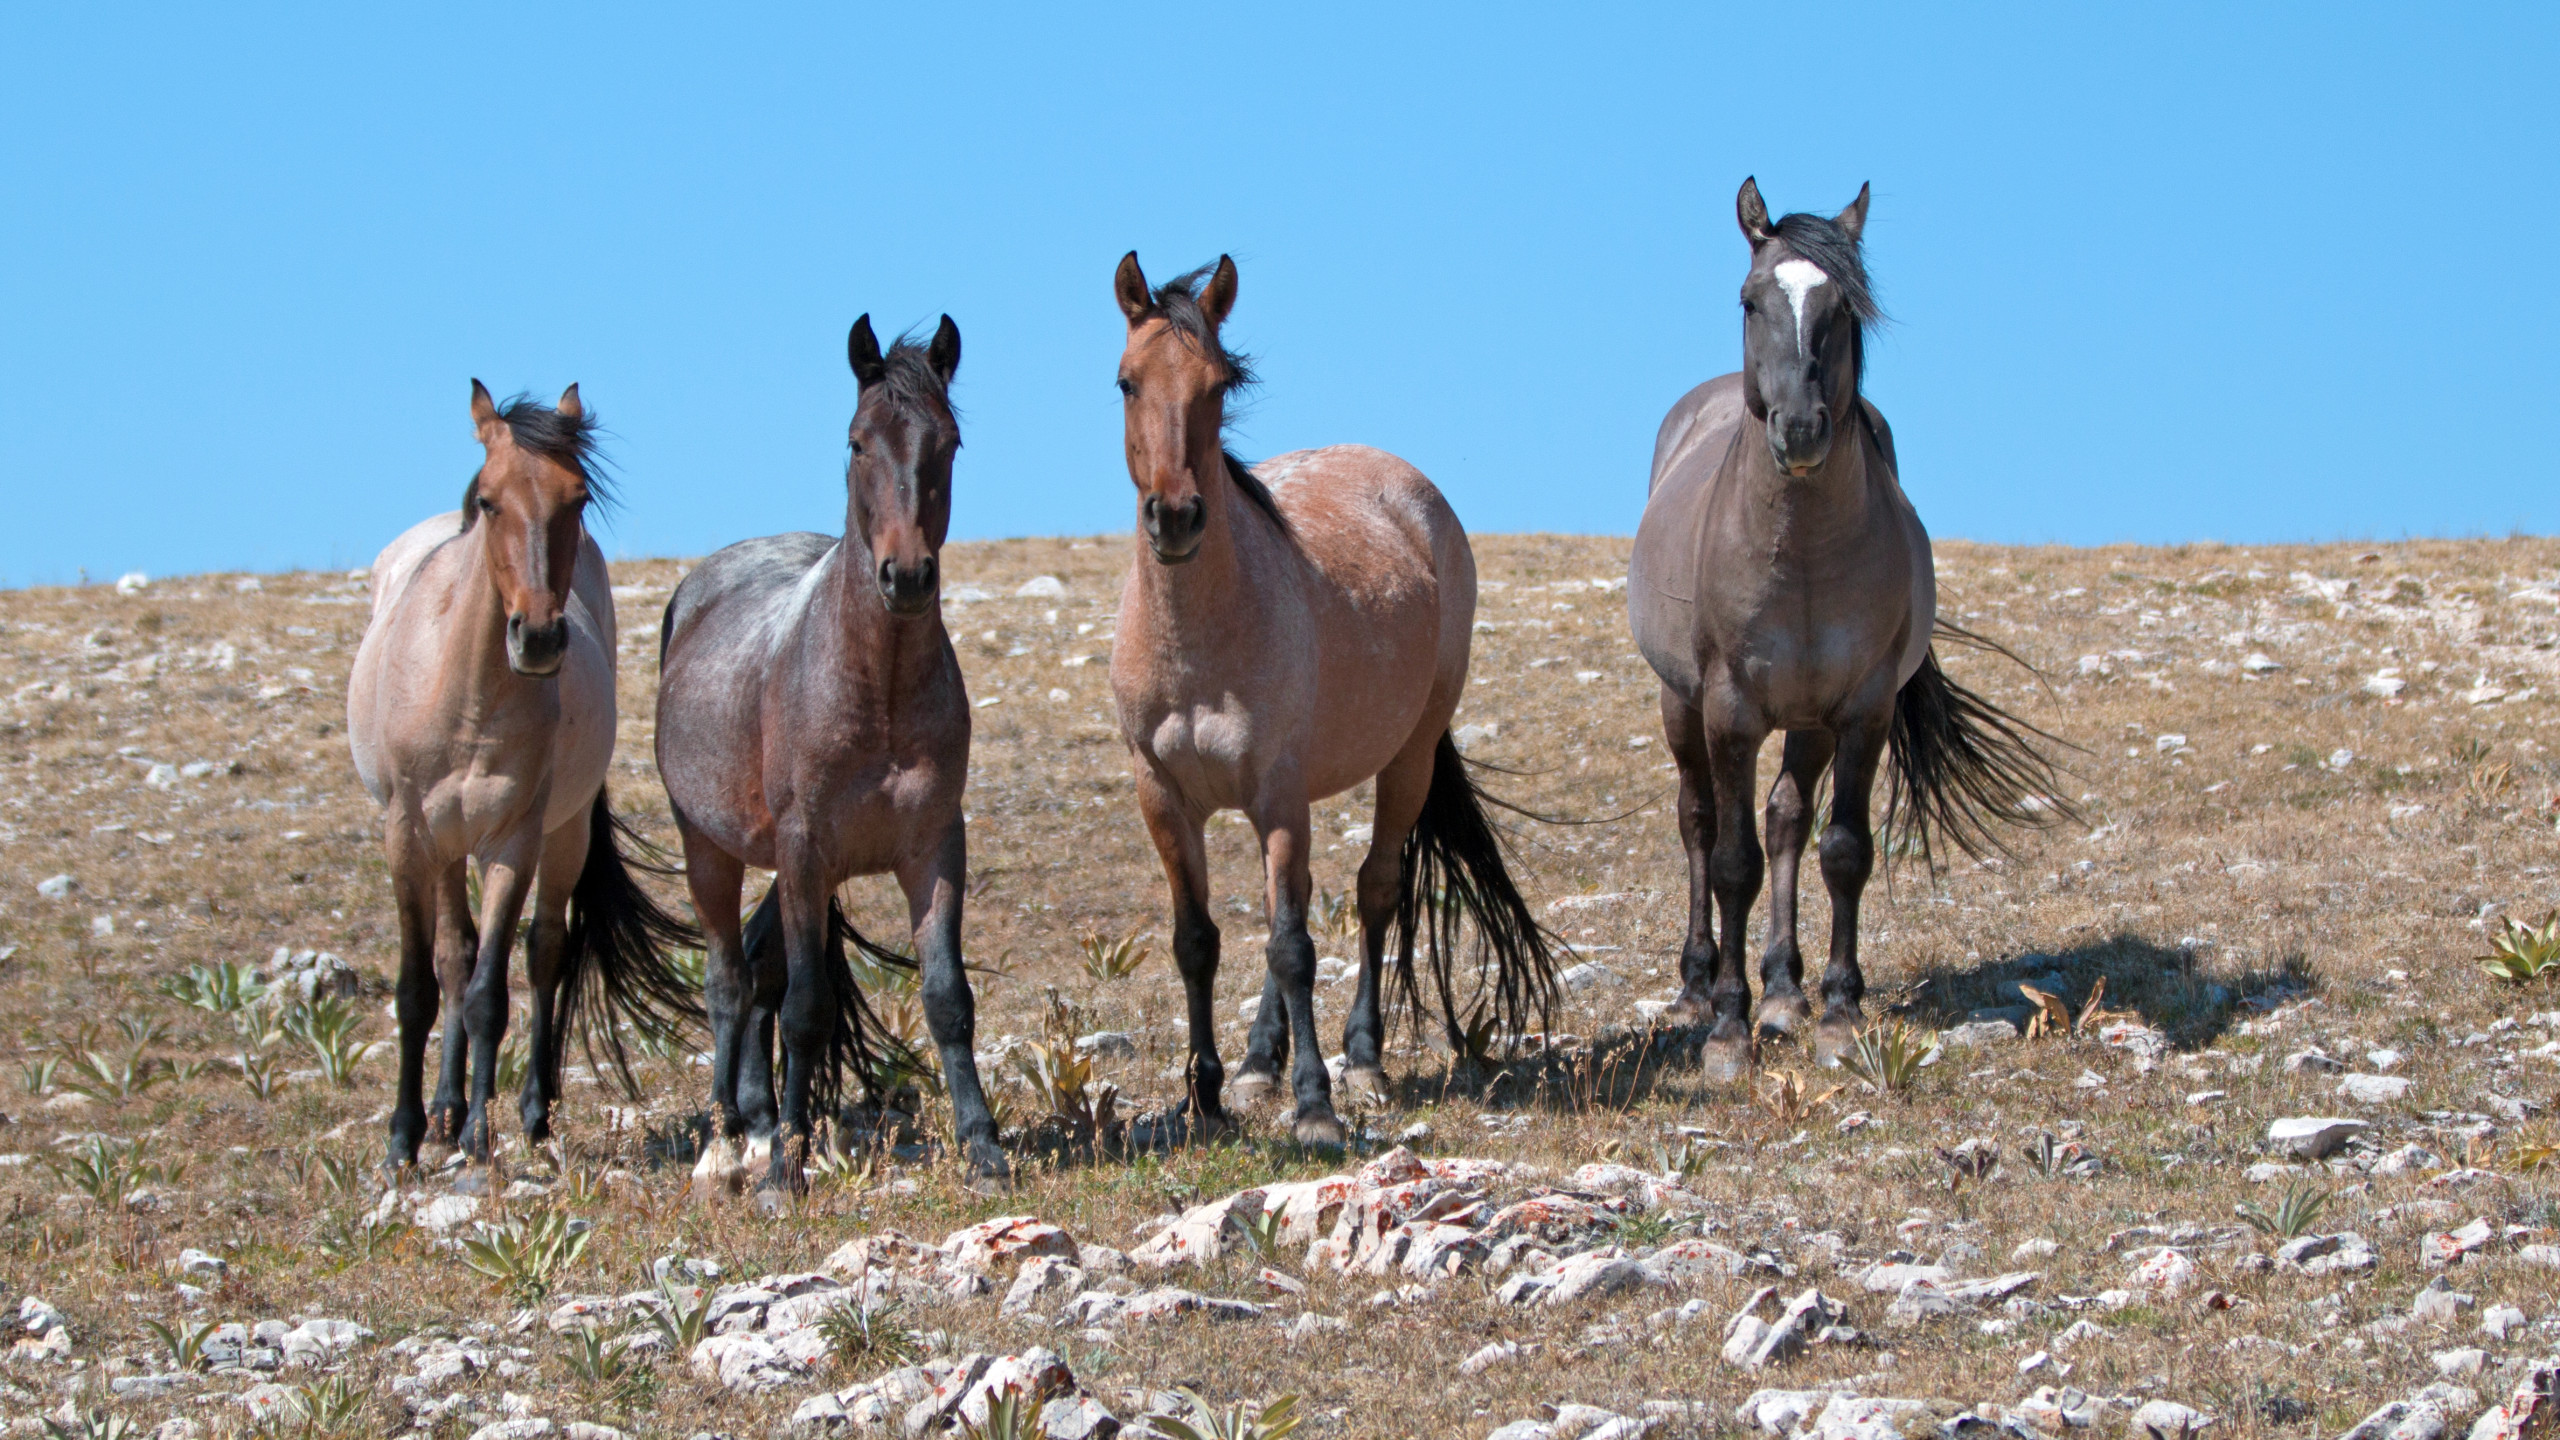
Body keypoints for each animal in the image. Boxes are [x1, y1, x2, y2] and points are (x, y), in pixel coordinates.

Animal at [348, 382, 703, 1170]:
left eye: (577, 497)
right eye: (487, 500)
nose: (537, 637)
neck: (465, 698)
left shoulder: (511, 839)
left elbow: (491, 994)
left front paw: (481, 1140)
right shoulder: (405, 836)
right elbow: (419, 986)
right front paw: (403, 1139)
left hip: (560, 834)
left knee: (542, 954)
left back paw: (529, 1114)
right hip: (446, 845)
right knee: (454, 956)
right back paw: (444, 1110)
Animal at [654, 315, 1006, 1200]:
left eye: (948, 442)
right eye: (856, 441)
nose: (906, 576)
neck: (875, 691)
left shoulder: (933, 848)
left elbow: (947, 997)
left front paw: (983, 1148)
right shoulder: (806, 849)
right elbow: (806, 1008)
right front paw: (784, 1169)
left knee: (756, 978)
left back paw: (760, 1127)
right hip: (711, 850)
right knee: (727, 983)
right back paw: (729, 1145)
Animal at [1108, 252, 1558, 1145]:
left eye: (1217, 385)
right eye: (1127, 382)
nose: (1175, 517)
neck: (1194, 644)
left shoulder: (1278, 794)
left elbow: (1292, 948)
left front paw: (1315, 1107)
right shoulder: (1163, 797)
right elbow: (1197, 942)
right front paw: (1205, 1098)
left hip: (1409, 758)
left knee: (1373, 891)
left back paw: (1364, 1059)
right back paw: (1257, 1064)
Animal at [1627, 179, 2076, 1082]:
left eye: (1843, 307)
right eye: (1750, 299)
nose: (1799, 429)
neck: (1800, 553)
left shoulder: (1862, 708)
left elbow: (1841, 849)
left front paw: (1834, 1011)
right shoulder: (1729, 709)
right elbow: (1731, 862)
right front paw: (1727, 1032)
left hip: (1808, 722)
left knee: (1787, 819)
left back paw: (1785, 991)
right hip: (1680, 705)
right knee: (1699, 822)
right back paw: (1698, 989)